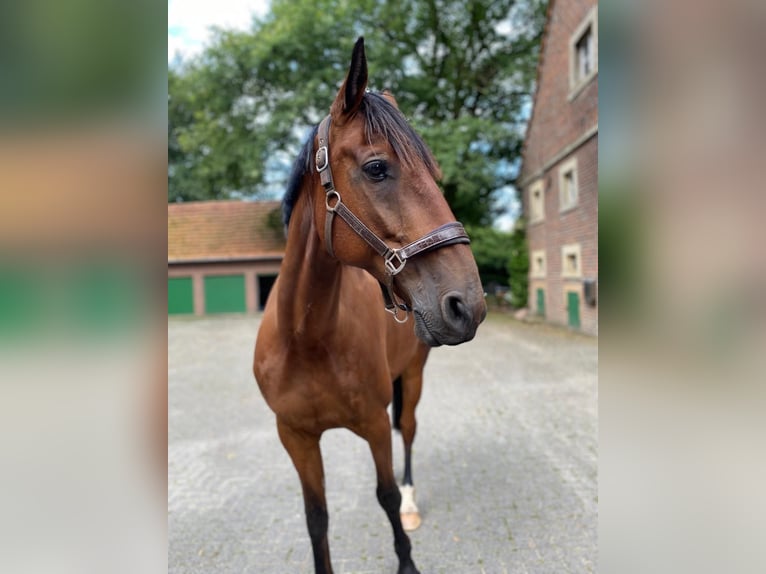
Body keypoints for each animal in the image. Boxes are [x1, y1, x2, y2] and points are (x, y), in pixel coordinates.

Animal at [256, 37, 486, 574]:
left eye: (436, 174)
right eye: (377, 167)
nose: (468, 303)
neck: (307, 339)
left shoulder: (375, 424)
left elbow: (385, 495)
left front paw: (407, 559)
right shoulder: (295, 437)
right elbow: (316, 518)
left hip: (414, 378)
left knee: (410, 433)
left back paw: (412, 502)